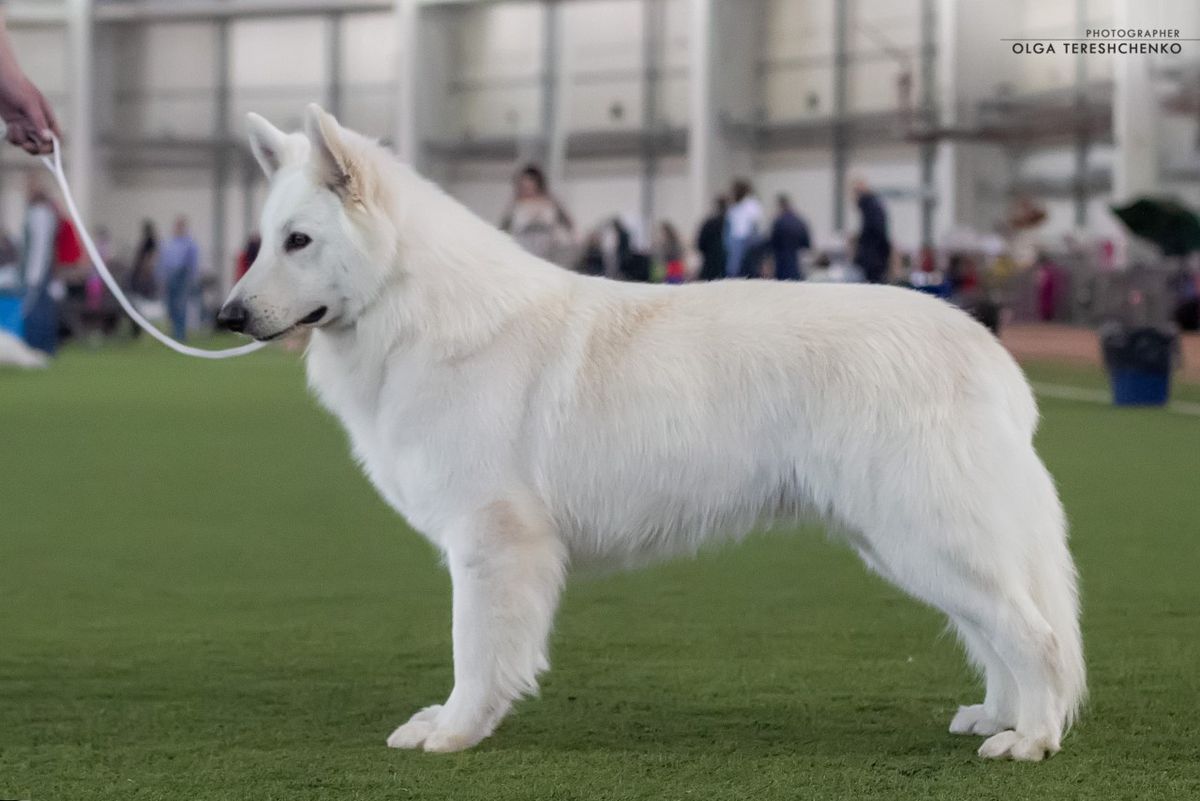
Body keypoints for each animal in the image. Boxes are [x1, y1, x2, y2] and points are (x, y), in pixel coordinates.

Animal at [220, 103, 1084, 762]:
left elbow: (476, 652)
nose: (226, 315)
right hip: (904, 541)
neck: (412, 310)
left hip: (924, 534)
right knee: (998, 630)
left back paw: (1031, 739)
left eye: (298, 240)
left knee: (1034, 635)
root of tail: (987, 348)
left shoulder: (492, 544)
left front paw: (458, 731)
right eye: (263, 240)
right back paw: (1000, 715)